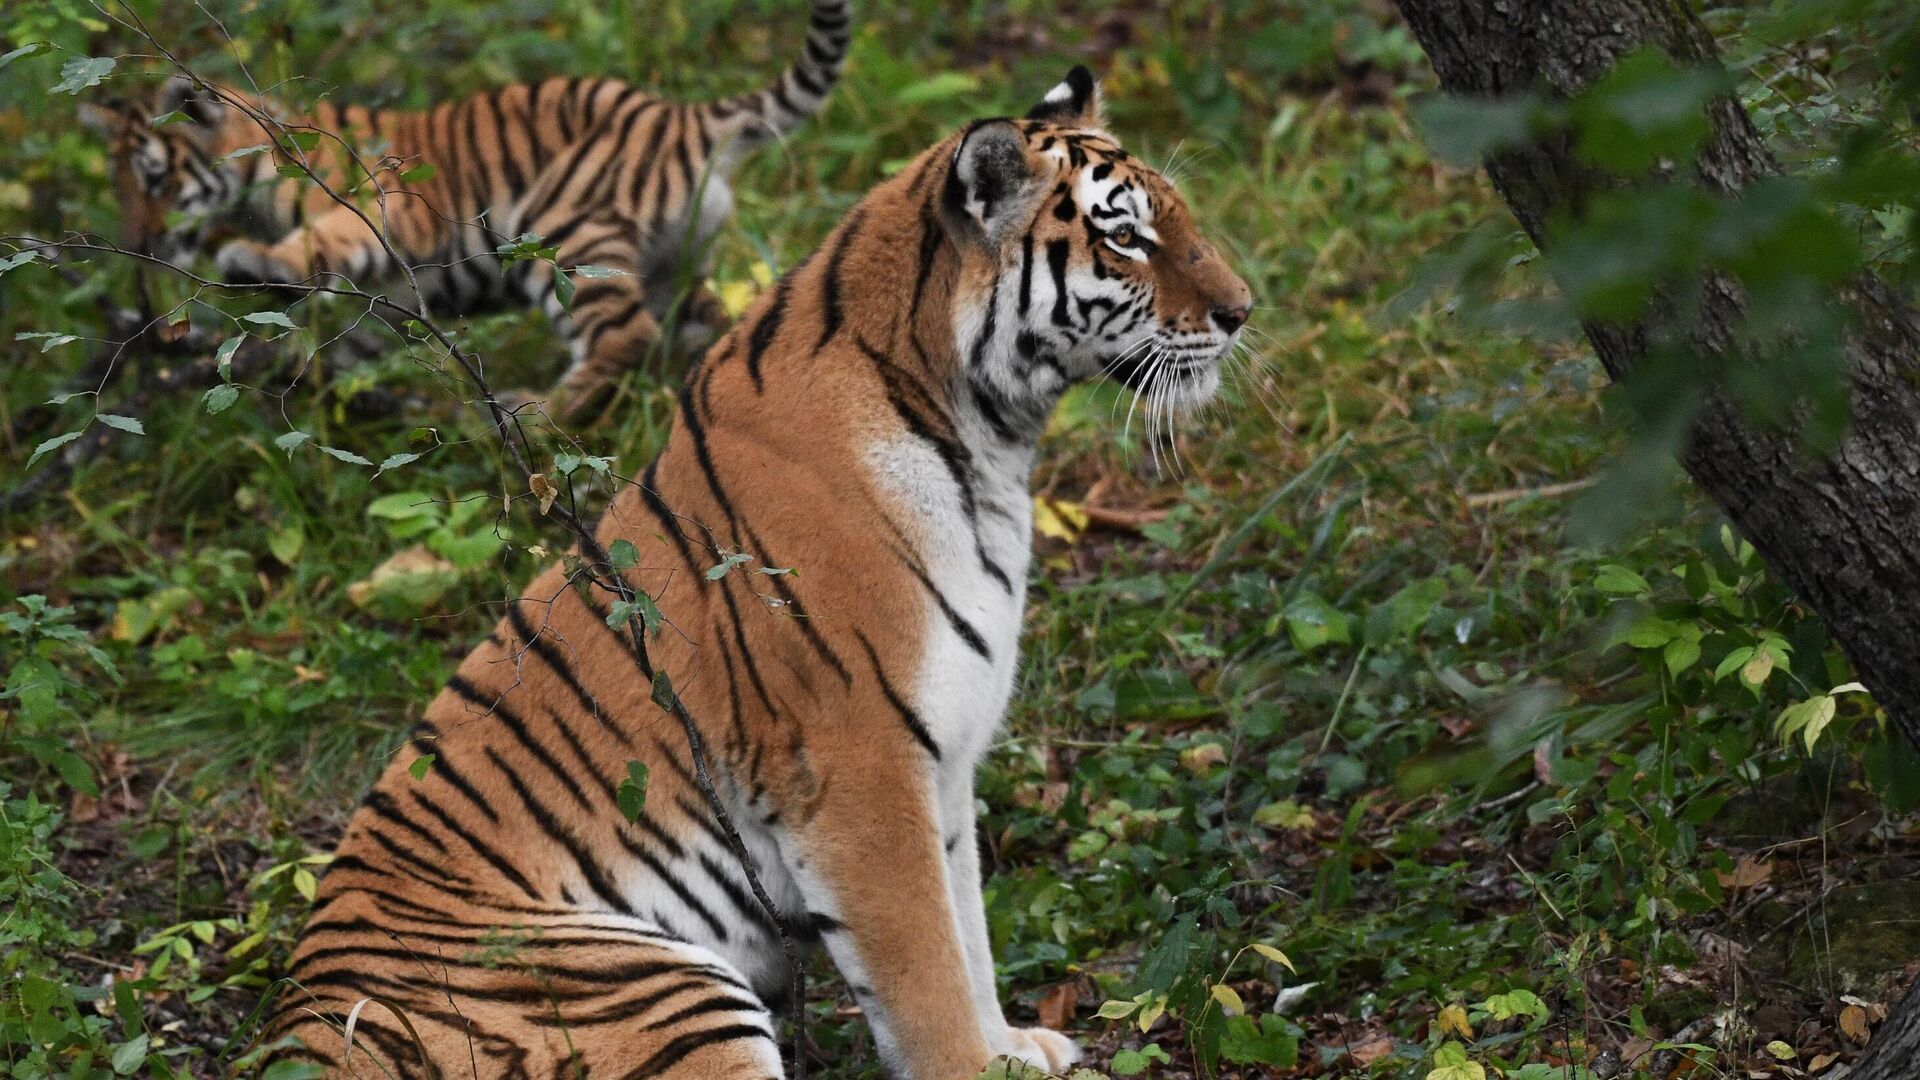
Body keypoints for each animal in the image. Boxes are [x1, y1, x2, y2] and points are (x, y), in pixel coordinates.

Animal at [80, 0, 848, 418]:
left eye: (152, 179)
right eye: (116, 186)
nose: (139, 245)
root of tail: (680, 116)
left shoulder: (386, 207)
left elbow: (319, 242)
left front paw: (255, 265)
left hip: (562, 235)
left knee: (622, 340)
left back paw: (528, 415)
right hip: (671, 263)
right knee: (698, 322)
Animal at [266, 67, 1259, 1076]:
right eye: (1126, 237)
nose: (1243, 310)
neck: (988, 440)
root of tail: (302, 1021)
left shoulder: (944, 757)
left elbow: (969, 931)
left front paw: (1011, 1049)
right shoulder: (858, 763)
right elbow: (928, 970)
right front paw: (973, 1063)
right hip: (669, 988)